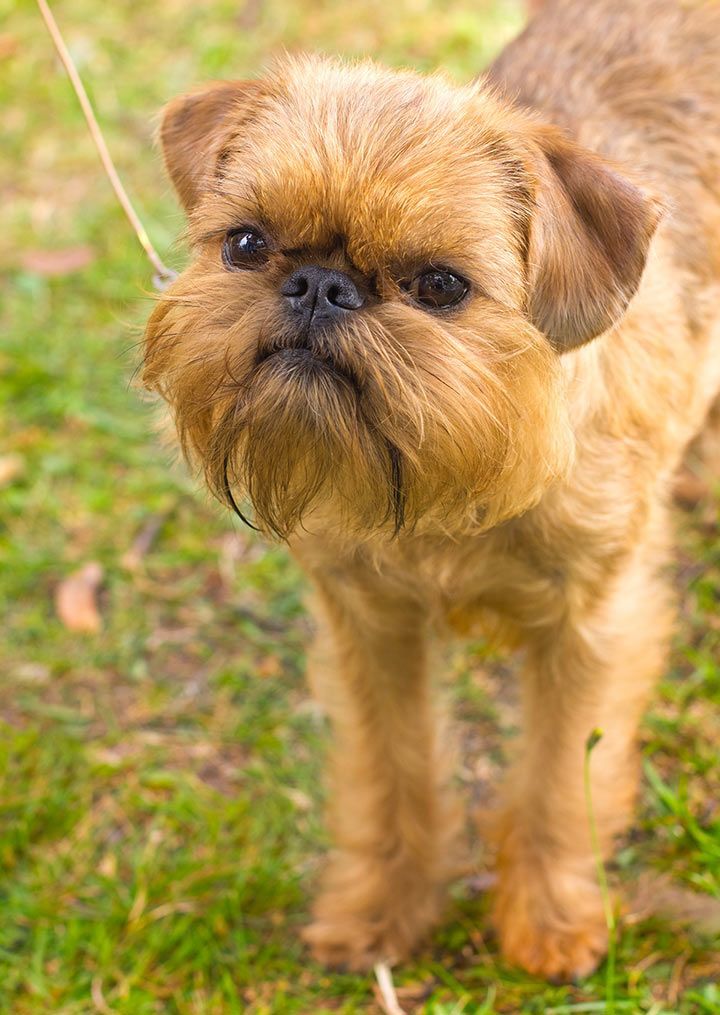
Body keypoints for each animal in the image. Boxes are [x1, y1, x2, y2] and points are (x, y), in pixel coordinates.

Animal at [142, 0, 718, 978]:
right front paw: (383, 906)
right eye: (246, 243)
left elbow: (561, 776)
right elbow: (390, 770)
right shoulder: (371, 627)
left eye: (442, 286)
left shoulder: (593, 628)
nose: (320, 285)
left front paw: (551, 919)